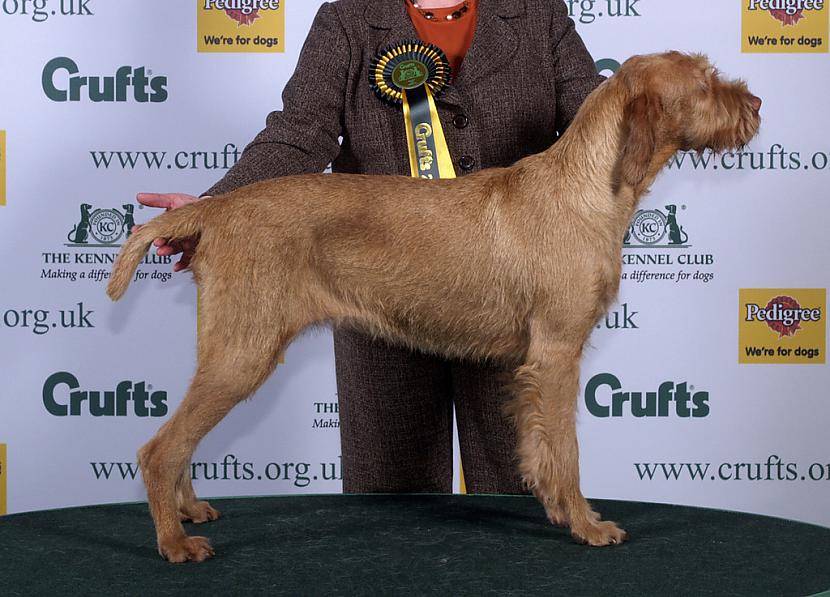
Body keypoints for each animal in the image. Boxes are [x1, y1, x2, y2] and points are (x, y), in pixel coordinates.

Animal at [109, 50, 760, 560]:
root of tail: (214, 210)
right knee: (158, 448)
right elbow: (567, 449)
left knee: (181, 439)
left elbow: (537, 448)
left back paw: (190, 511)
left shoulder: (530, 365)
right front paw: (585, 524)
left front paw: (558, 510)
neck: (587, 187)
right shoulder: (556, 353)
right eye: (706, 84)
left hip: (229, 350)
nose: (754, 103)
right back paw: (174, 542)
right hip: (244, 352)